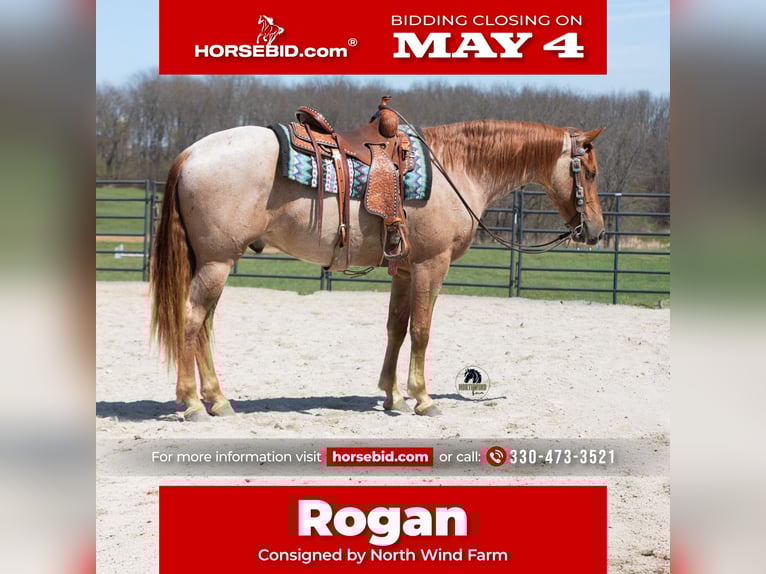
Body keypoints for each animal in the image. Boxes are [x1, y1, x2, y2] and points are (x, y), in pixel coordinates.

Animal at [150, 118, 605, 421]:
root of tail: (192, 153)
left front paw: (393, 396)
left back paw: (218, 400)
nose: (597, 231)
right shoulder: (431, 265)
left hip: (214, 263)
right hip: (217, 263)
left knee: (203, 327)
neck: (456, 169)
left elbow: (396, 329)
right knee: (191, 321)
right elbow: (421, 330)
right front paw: (423, 399)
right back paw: (192, 403)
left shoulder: (403, 270)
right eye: (591, 172)